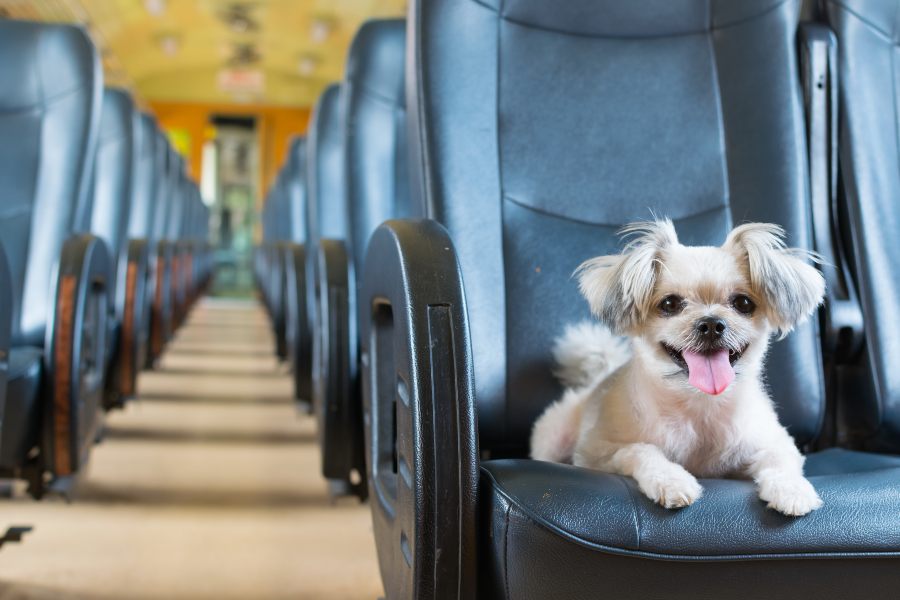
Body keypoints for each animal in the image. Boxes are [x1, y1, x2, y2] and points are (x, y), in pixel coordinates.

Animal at [532, 219, 828, 516]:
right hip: (553, 438)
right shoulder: (597, 453)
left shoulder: (776, 443)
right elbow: (640, 450)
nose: (711, 323)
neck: (699, 406)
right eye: (670, 303)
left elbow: (779, 462)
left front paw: (791, 489)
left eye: (743, 303)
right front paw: (671, 479)